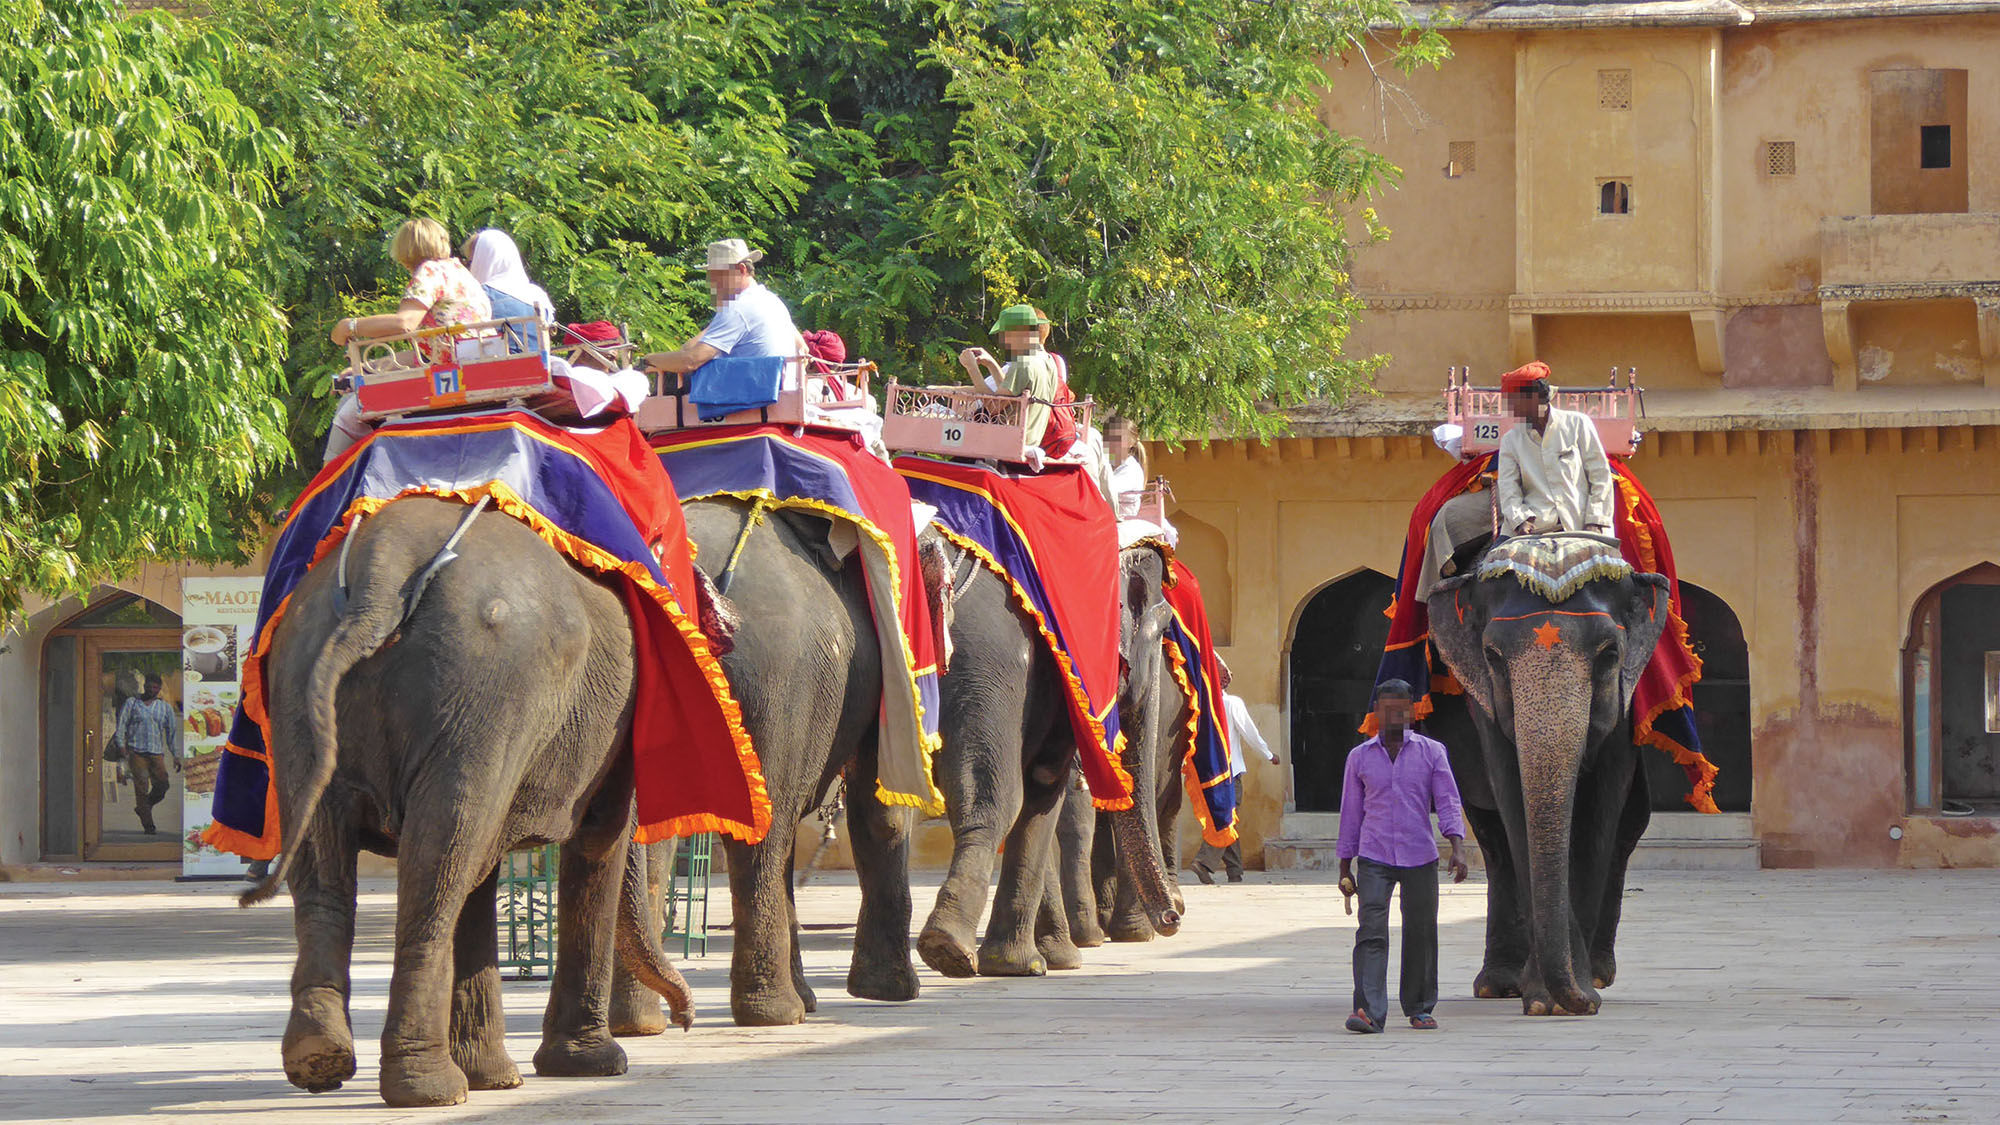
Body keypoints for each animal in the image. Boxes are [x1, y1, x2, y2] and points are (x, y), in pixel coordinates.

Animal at [244, 496, 695, 1108]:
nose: (687, 1018)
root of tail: (380, 572)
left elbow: (486, 866)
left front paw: (497, 1080)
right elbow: (599, 841)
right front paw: (593, 1067)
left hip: (301, 682)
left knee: (347, 864)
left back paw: (322, 1060)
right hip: (488, 687)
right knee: (442, 866)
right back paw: (431, 1089)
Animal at [608, 495, 921, 1029]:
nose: (688, 1016)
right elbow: (880, 807)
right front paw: (893, 993)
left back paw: (643, 1024)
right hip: (777, 679)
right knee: (763, 840)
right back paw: (775, 1013)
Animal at [918, 541, 1182, 978]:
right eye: (1162, 628)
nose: (1174, 917)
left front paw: (1048, 958)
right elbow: (1044, 785)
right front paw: (1029, 964)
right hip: (987, 664)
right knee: (993, 798)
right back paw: (948, 948)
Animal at [1424, 534, 1672, 1017]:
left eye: (1610, 654)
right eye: (1492, 656)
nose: (1579, 1000)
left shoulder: (1625, 700)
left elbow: (1600, 809)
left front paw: (1574, 997)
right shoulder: (1482, 700)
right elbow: (1512, 797)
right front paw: (1547, 1002)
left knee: (1630, 825)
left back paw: (1597, 974)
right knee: (1491, 834)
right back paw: (1499, 986)